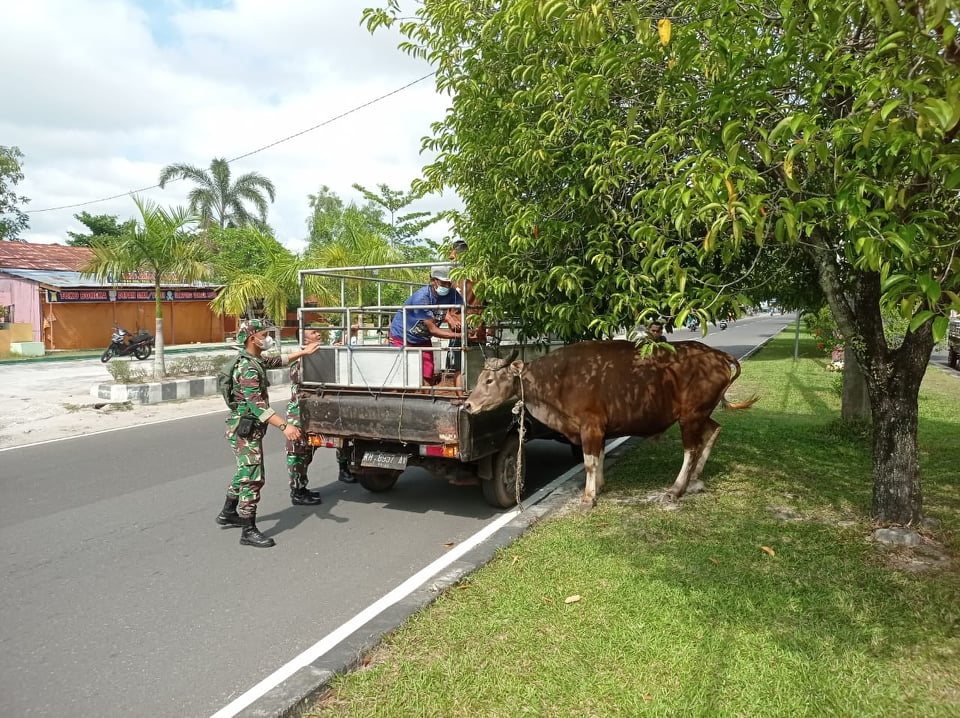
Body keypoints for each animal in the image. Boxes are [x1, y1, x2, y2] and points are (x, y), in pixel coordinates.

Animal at [464, 342, 756, 506]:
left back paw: (676, 489)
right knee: (714, 430)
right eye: (479, 377)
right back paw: (695, 478)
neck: (560, 379)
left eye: (489, 380)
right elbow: (600, 456)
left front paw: (588, 497)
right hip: (701, 413)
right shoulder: (599, 429)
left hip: (691, 415)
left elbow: (589, 461)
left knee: (691, 449)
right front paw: (600, 487)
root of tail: (716, 354)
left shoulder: (590, 425)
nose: (467, 405)